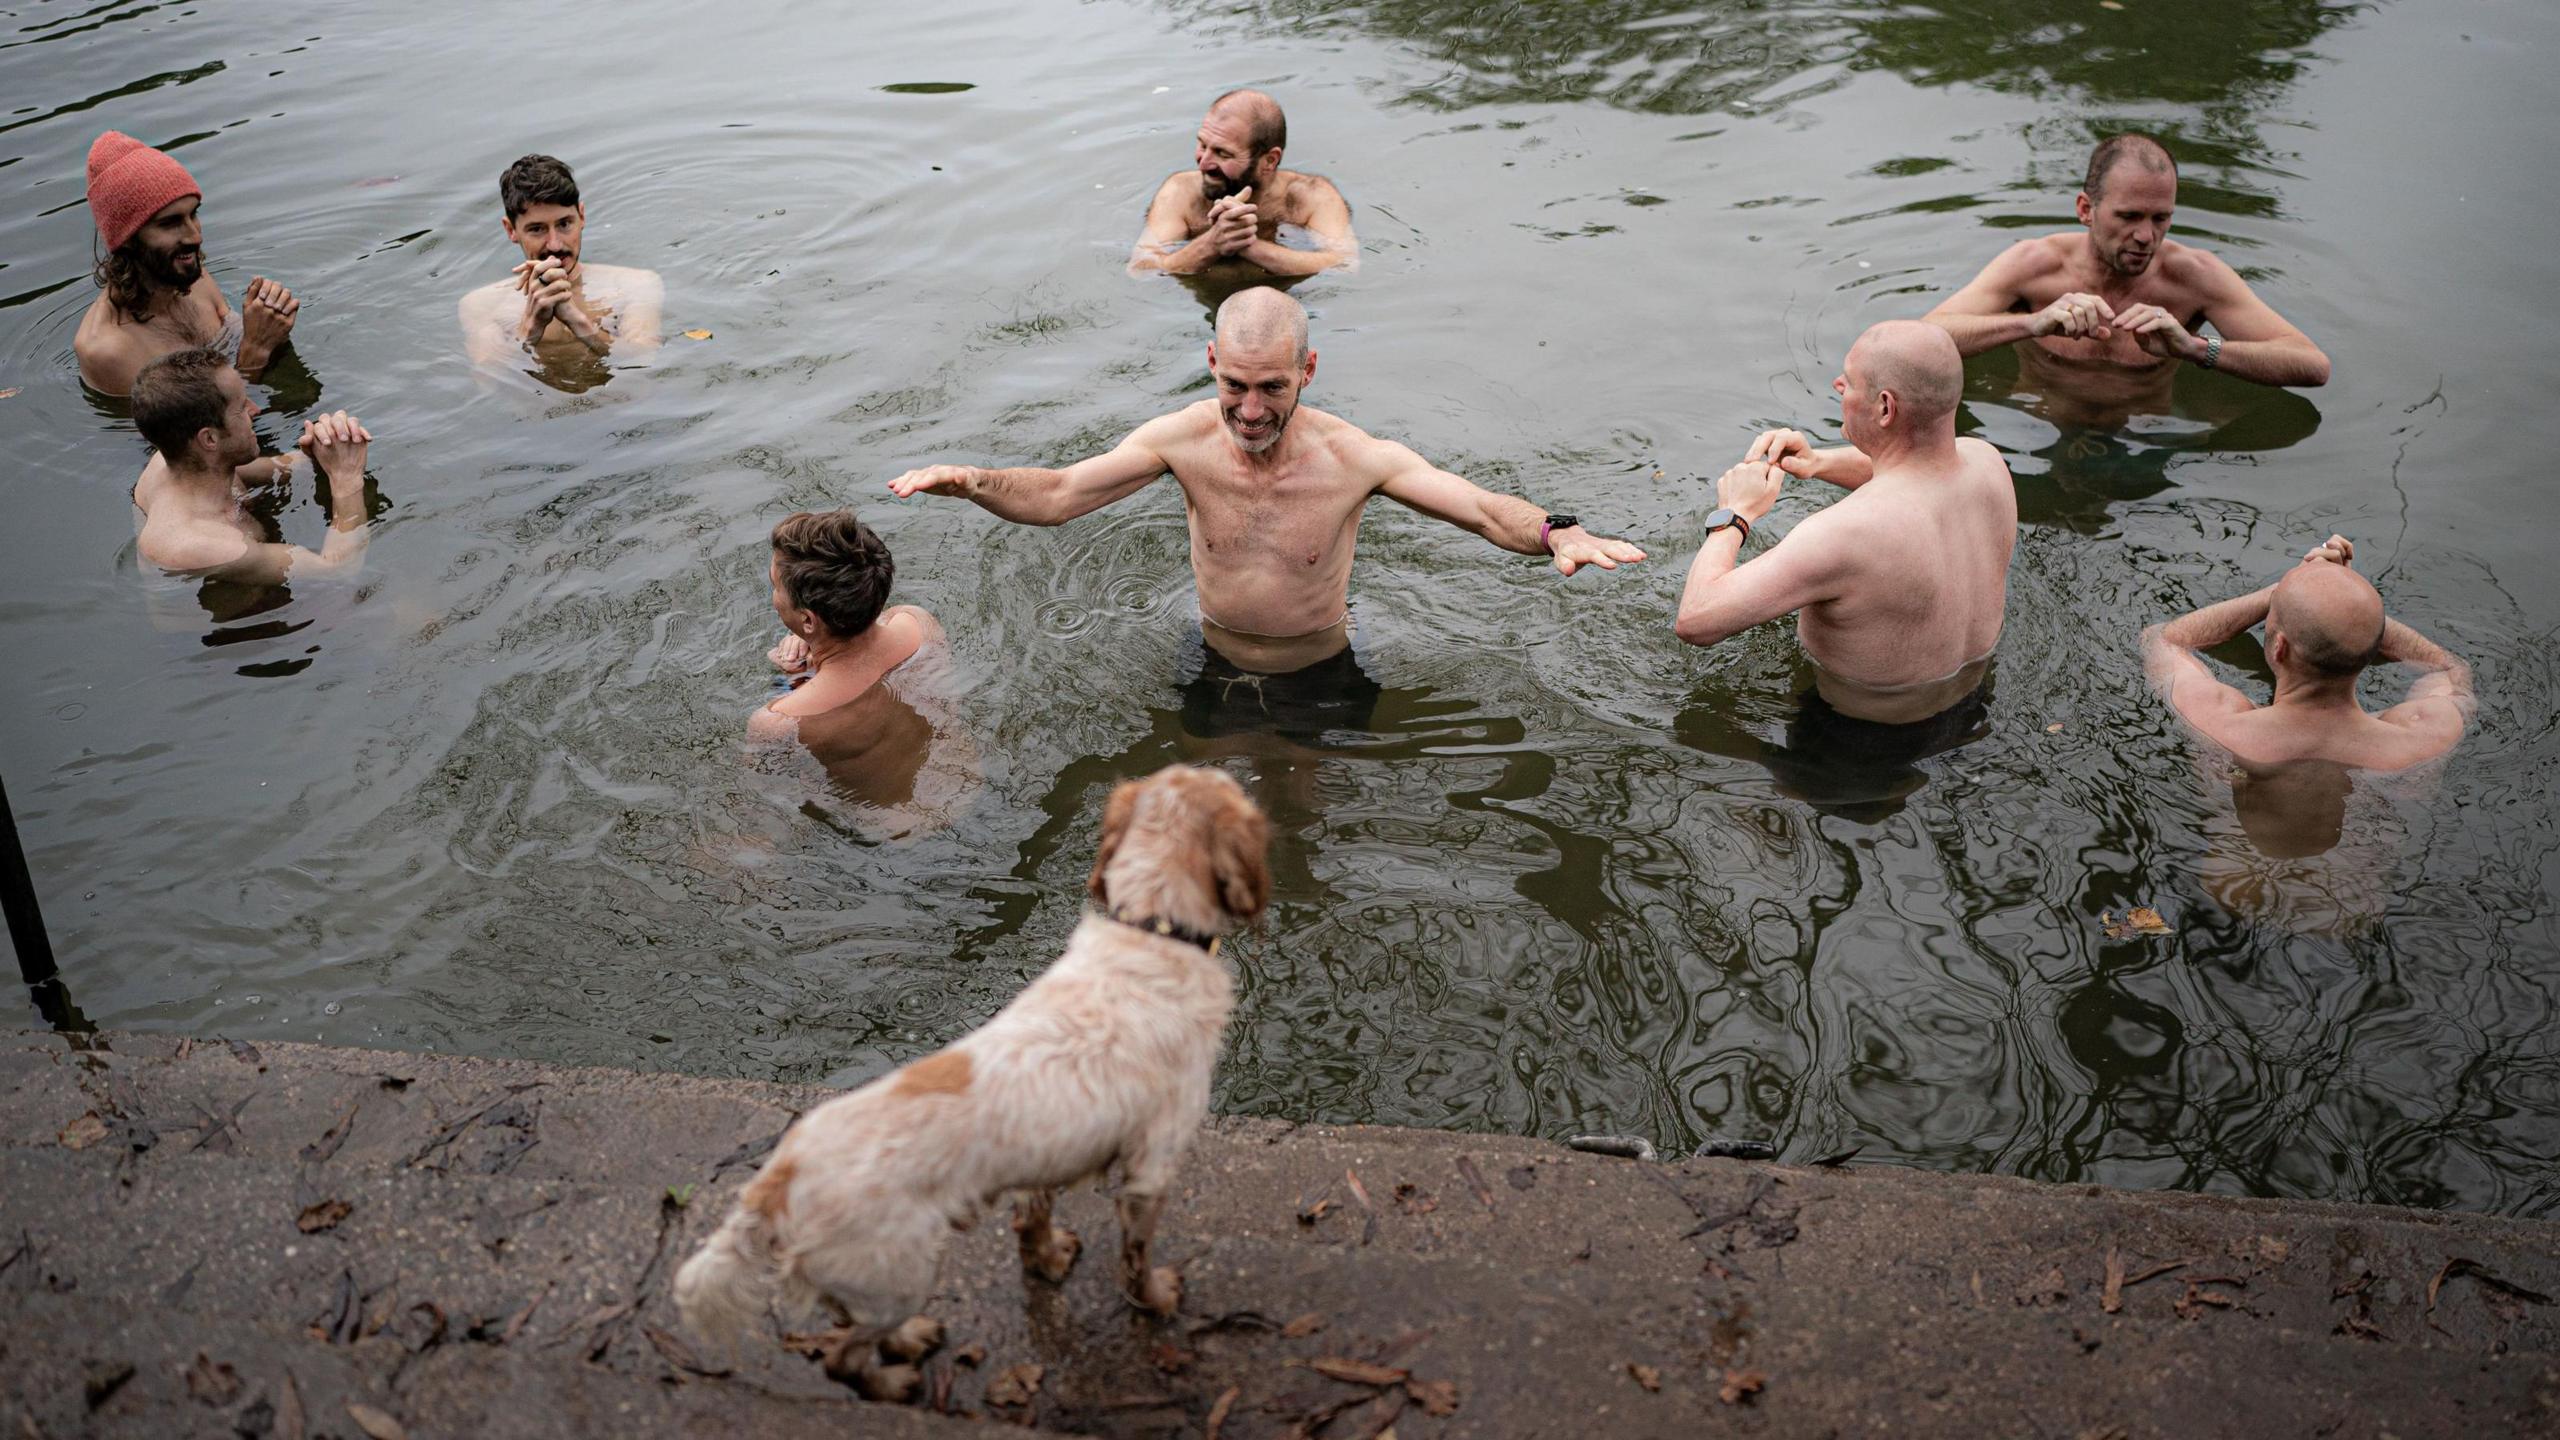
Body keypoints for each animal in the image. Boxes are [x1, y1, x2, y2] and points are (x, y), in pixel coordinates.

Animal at [670, 763, 1269, 1393]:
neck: (1152, 930)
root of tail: (775, 1181)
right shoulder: (1151, 1167)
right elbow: (1135, 1259)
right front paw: (1155, 1298)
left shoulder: (1048, 1156)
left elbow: (1033, 1220)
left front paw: (1048, 1261)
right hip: (904, 1276)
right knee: (844, 1359)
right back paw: (897, 1379)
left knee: (845, 1325)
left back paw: (909, 1341)